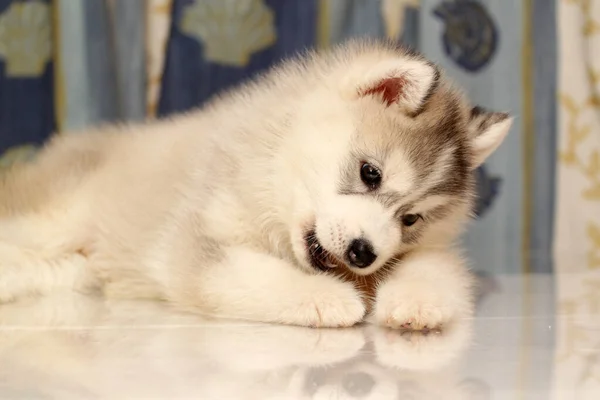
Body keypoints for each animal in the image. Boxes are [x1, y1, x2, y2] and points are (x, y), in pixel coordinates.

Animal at [0, 39, 510, 328]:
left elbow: (435, 267)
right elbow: (250, 274)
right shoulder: (196, 237)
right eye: (371, 174)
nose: (363, 254)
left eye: (411, 219)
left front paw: (417, 304)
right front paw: (328, 299)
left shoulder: (431, 250)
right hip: (55, 218)